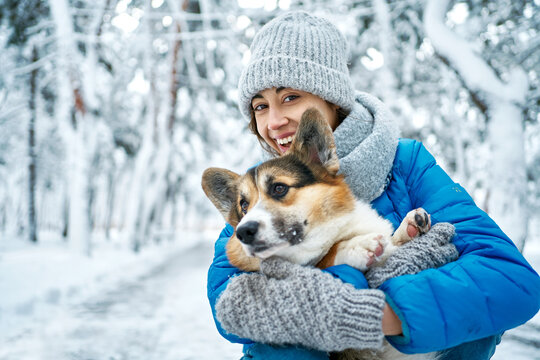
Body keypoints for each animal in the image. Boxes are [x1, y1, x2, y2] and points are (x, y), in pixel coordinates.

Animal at [202, 108, 438, 358]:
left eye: (279, 188)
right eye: (244, 205)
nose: (243, 231)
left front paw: (409, 228)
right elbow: (325, 258)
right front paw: (356, 246)